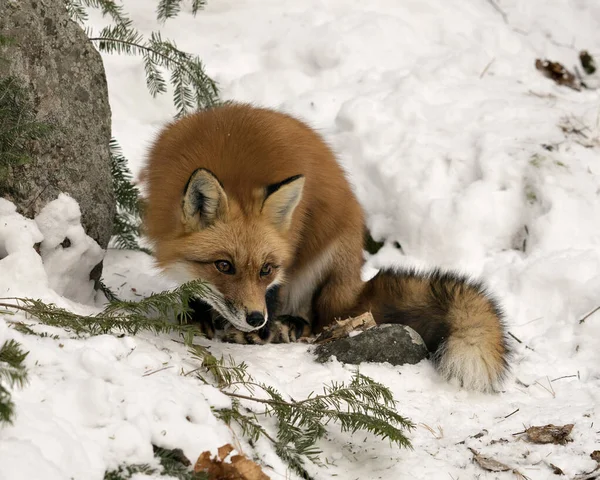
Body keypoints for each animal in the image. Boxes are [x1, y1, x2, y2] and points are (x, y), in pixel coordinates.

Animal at [139, 103, 506, 392]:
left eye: (266, 269)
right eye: (224, 266)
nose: (256, 318)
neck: (229, 154)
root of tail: (354, 284)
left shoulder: (289, 251)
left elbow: (274, 295)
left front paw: (257, 330)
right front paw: (197, 313)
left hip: (328, 260)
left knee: (316, 322)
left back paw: (283, 328)